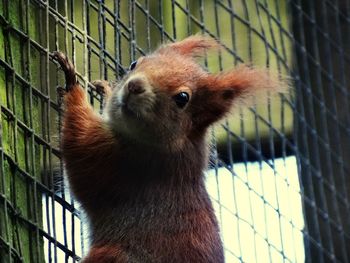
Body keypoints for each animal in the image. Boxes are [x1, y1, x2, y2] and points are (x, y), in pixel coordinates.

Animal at [53, 35, 284, 263]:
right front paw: (106, 90)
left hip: (116, 256)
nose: (134, 85)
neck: (175, 145)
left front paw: (72, 84)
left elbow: (79, 148)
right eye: (134, 63)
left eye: (182, 98)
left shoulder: (117, 160)